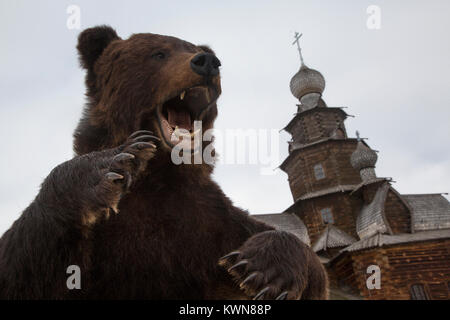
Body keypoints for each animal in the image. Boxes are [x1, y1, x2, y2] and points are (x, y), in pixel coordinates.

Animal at [0, 25, 326, 300]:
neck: (162, 176)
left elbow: (311, 270)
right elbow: (20, 268)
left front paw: (264, 267)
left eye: (192, 47)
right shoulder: (100, 243)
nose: (208, 62)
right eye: (158, 53)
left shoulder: (212, 225)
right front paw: (113, 162)